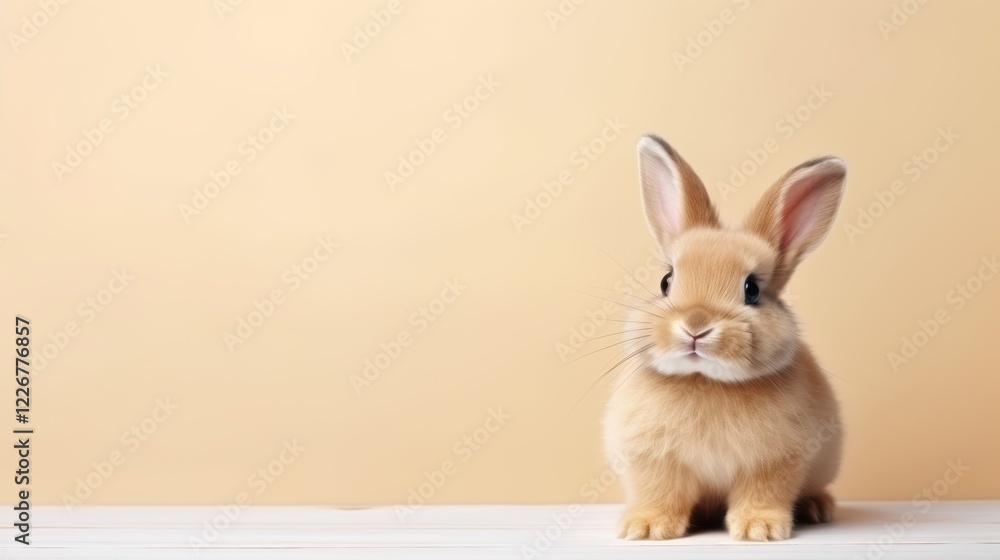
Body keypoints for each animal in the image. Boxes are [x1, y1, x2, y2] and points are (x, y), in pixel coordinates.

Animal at [603, 134, 845, 541]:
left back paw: (819, 507)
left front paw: (759, 529)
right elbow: (661, 493)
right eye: (666, 281)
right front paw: (646, 527)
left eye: (752, 290)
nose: (696, 325)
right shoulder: (654, 460)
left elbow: (763, 492)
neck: (706, 381)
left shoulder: (774, 461)